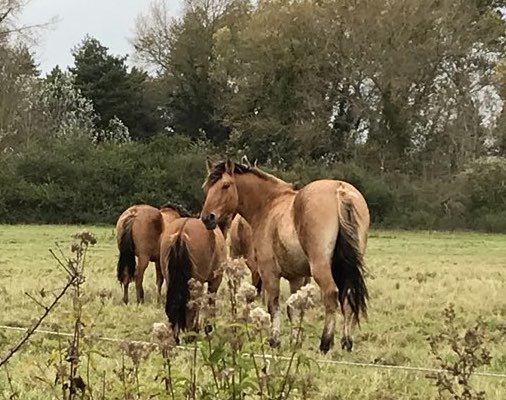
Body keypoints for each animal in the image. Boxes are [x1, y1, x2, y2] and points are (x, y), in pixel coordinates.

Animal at [200, 159, 370, 354]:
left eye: (225, 185)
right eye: (207, 187)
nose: (207, 218)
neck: (269, 204)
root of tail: (339, 190)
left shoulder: (269, 272)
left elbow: (273, 305)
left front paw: (274, 340)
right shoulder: (296, 277)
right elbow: (292, 307)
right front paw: (296, 340)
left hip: (321, 268)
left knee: (330, 295)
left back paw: (325, 343)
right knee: (348, 297)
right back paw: (346, 342)